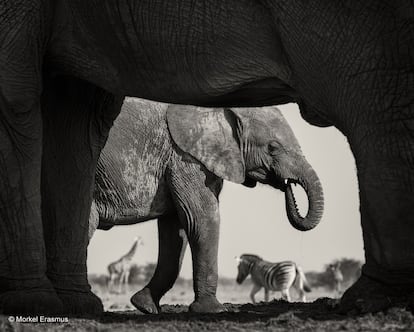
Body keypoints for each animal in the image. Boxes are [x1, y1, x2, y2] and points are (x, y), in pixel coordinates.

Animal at [89, 98, 326, 314]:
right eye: (273, 147)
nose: (287, 185)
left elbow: (176, 230)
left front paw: (144, 306)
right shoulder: (186, 159)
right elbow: (201, 219)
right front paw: (213, 310)